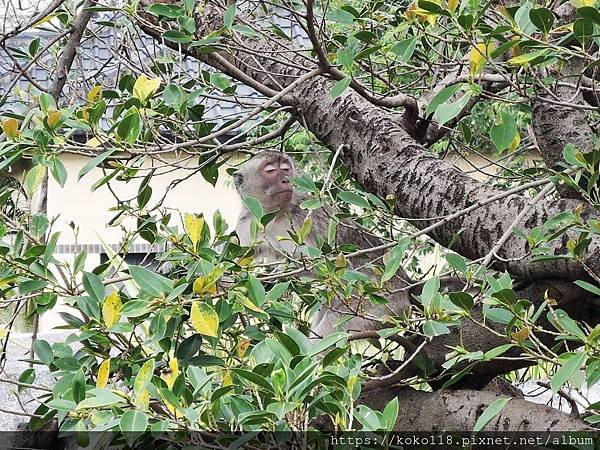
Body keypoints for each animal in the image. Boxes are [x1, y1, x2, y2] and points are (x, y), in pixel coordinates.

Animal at [232, 151, 414, 338]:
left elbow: (335, 264)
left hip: (378, 305)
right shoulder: (246, 224)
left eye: (285, 169)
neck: (272, 215)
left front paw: (281, 271)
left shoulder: (306, 216)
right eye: (270, 171)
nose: (286, 180)